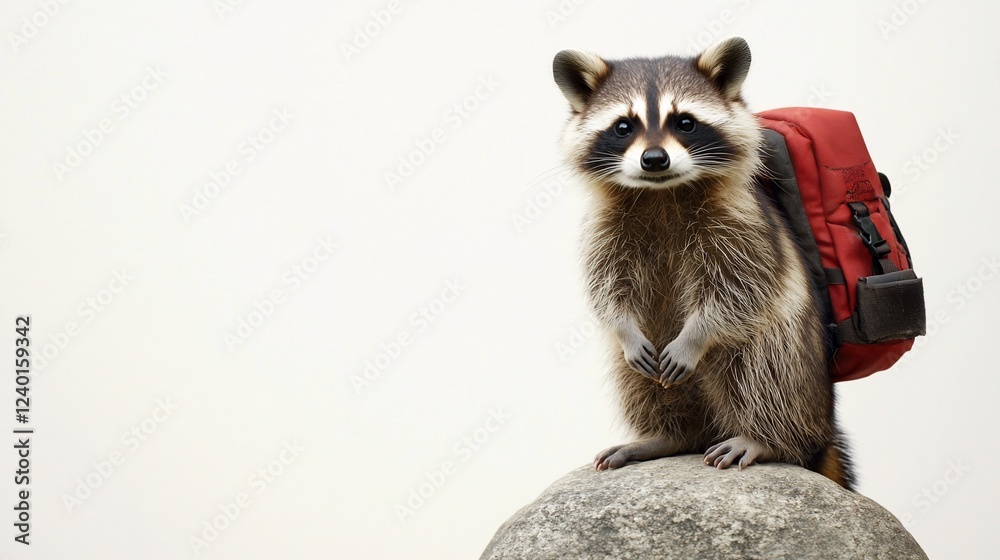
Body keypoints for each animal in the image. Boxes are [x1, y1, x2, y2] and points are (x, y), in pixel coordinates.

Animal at [552, 37, 854, 489]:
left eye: (685, 123)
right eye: (623, 127)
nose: (654, 159)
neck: (661, 192)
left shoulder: (743, 224)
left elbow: (738, 291)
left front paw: (696, 336)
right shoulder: (604, 230)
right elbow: (607, 289)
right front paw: (622, 327)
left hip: (797, 350)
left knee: (764, 366)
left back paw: (766, 438)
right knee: (637, 380)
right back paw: (669, 435)